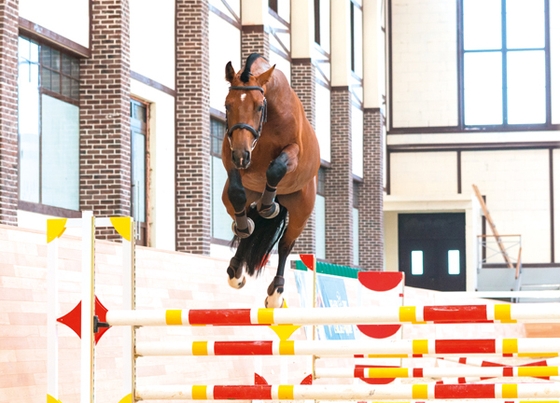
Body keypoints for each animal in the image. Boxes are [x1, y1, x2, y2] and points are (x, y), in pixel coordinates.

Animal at [222, 52, 320, 308]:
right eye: (227, 105)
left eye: (258, 107)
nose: (242, 156)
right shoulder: (230, 153)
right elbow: (237, 193)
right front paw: (249, 221)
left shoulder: (293, 151)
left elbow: (275, 169)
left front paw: (268, 207)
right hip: (234, 196)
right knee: (245, 227)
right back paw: (236, 270)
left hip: (301, 210)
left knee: (286, 245)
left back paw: (276, 293)